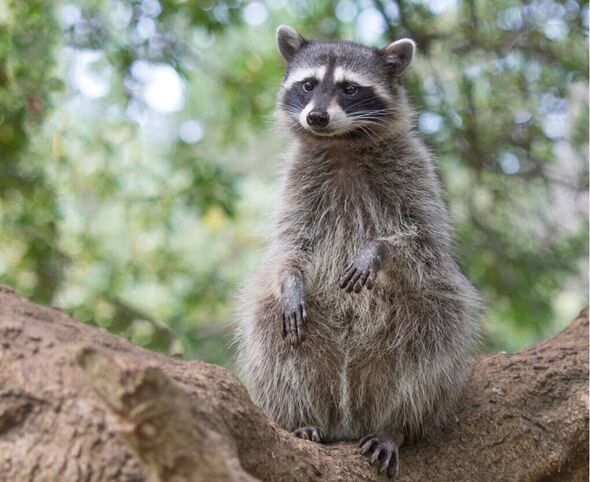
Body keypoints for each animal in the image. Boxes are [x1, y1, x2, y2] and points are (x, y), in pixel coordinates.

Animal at [234, 26, 484, 478]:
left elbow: (424, 242)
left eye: (350, 89)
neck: (341, 143)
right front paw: (290, 280)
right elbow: (290, 245)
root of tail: (349, 413)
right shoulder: (298, 181)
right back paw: (302, 417)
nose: (316, 117)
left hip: (414, 340)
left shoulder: (414, 169)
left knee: (431, 341)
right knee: (271, 334)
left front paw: (377, 251)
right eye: (309, 85)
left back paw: (394, 426)